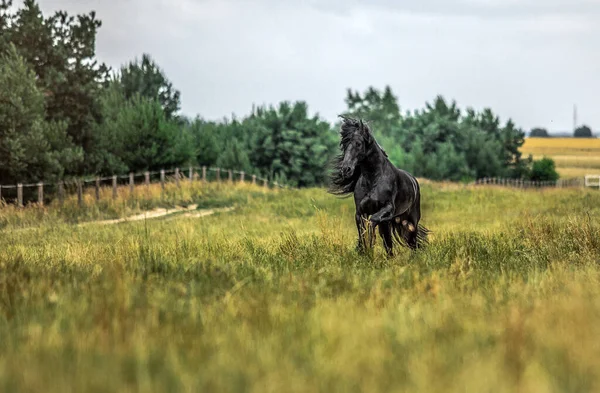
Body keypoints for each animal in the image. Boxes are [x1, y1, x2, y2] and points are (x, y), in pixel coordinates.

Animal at [330, 115, 428, 256]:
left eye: (358, 143)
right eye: (344, 144)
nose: (346, 169)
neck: (373, 180)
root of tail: (414, 181)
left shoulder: (387, 209)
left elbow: (371, 224)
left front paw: (370, 243)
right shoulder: (360, 212)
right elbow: (362, 233)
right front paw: (363, 250)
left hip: (410, 221)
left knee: (413, 242)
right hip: (389, 223)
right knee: (389, 245)